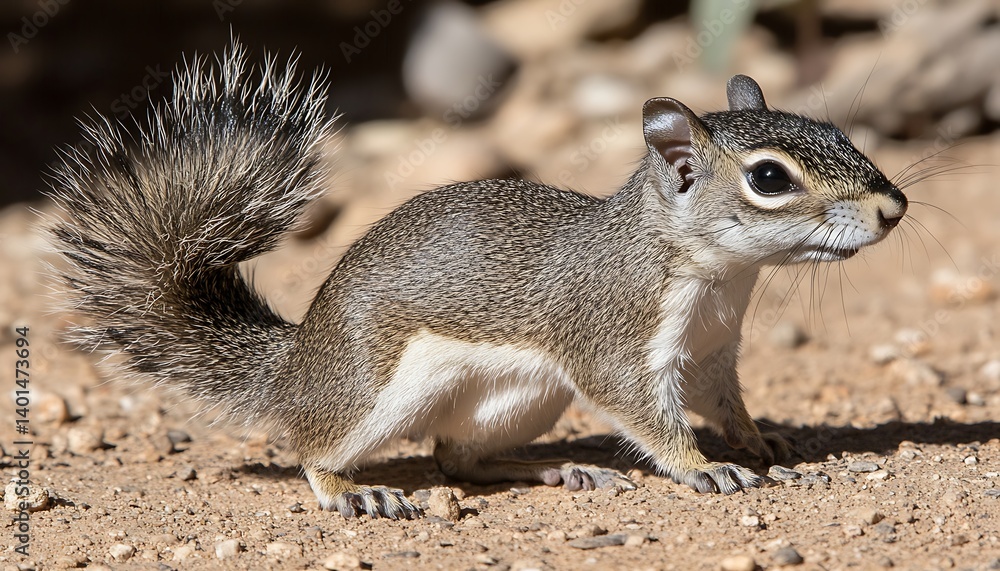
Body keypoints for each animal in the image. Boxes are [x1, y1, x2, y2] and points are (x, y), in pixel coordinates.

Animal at [48, 43, 908, 520]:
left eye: (834, 131)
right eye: (769, 178)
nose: (893, 207)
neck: (716, 275)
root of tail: (295, 362)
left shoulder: (710, 351)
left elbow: (724, 402)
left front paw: (763, 440)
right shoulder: (615, 338)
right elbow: (649, 414)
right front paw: (703, 466)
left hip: (520, 401)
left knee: (457, 457)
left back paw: (557, 467)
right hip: (375, 391)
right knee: (316, 445)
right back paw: (352, 489)